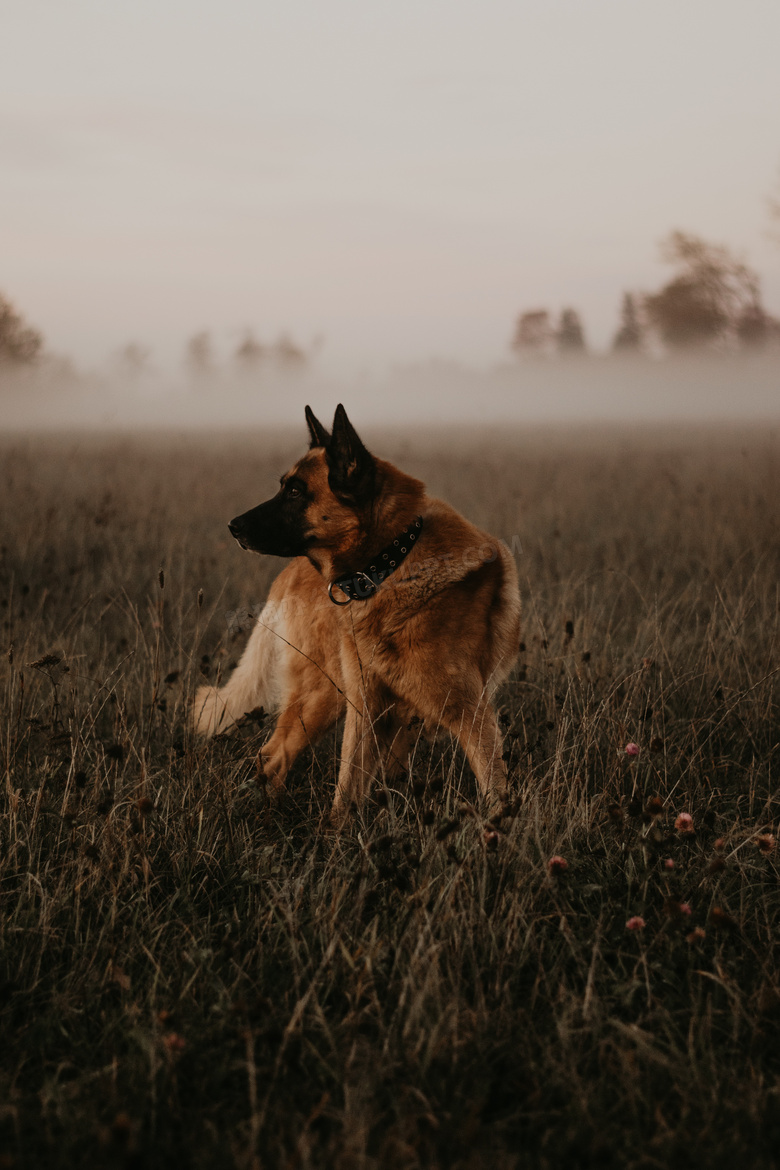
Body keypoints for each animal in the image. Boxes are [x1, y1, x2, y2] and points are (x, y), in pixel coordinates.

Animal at [195, 407, 521, 828]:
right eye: (285, 487)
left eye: (296, 491)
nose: (233, 527)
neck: (389, 564)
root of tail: (290, 574)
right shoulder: (366, 707)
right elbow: (347, 786)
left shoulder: (466, 712)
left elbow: (493, 791)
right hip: (325, 696)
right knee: (274, 756)